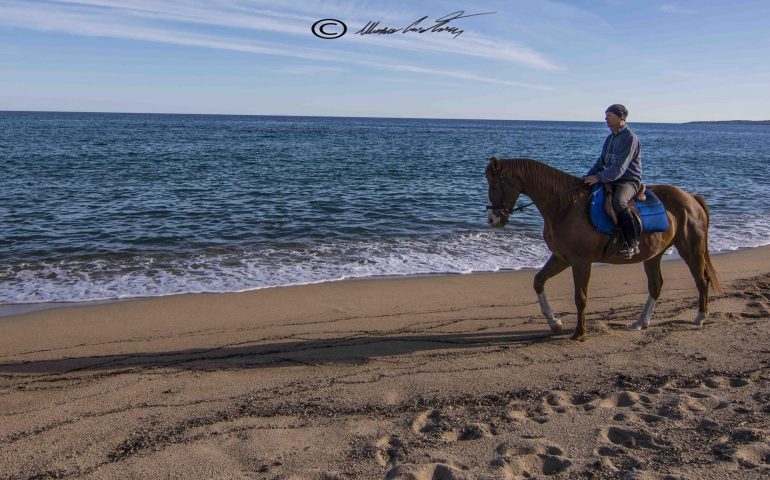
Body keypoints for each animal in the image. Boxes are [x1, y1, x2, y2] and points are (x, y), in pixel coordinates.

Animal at [486, 158, 720, 342]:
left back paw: (700, 317)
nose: (492, 220)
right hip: (654, 255)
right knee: (656, 286)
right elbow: (538, 281)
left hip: (691, 249)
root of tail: (691, 198)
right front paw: (555, 323)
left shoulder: (580, 261)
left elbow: (580, 296)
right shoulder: (562, 258)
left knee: (701, 280)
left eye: (495, 185)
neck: (565, 206)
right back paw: (641, 322)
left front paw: (579, 332)